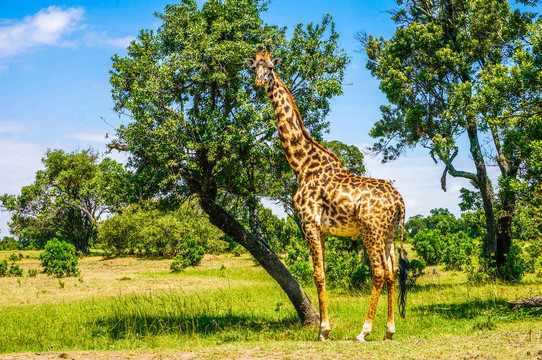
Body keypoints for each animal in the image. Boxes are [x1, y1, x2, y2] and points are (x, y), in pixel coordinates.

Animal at [245, 46, 408, 342]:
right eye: (254, 68)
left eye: (271, 68)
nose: (260, 82)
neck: (301, 165)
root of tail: (400, 201)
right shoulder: (320, 229)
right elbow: (323, 274)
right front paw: (325, 328)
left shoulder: (308, 223)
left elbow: (318, 275)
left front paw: (324, 330)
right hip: (389, 234)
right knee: (392, 273)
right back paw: (389, 331)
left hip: (370, 231)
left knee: (379, 272)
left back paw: (364, 331)